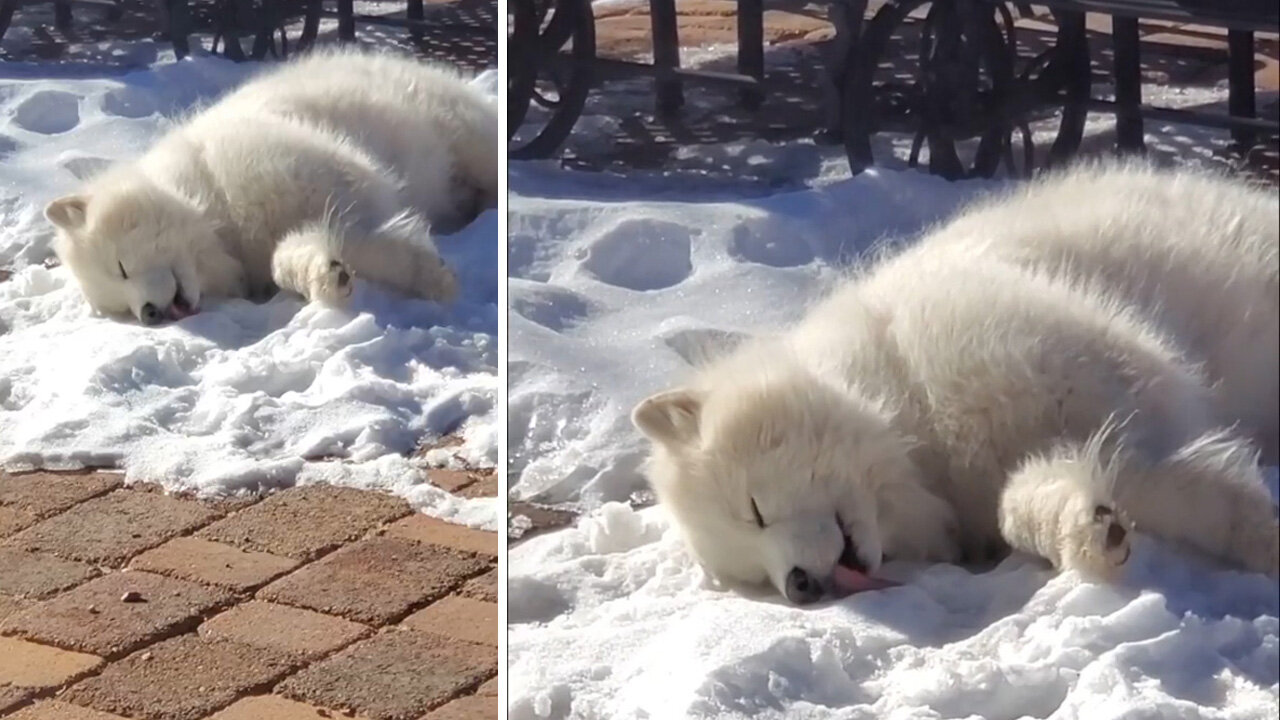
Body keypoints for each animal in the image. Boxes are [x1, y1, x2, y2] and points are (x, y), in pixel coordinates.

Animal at [46, 47, 494, 322]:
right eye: (121, 308)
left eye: (121, 268)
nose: (149, 315)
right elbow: (288, 258)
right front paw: (325, 276)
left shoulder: (342, 177)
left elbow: (361, 234)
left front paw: (429, 276)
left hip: (463, 136)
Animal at [632, 161, 1280, 599]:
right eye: (755, 575)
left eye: (755, 510)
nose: (800, 588)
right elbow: (1024, 502)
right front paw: (1084, 530)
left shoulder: (1113, 374)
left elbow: (1164, 468)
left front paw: (1257, 533)